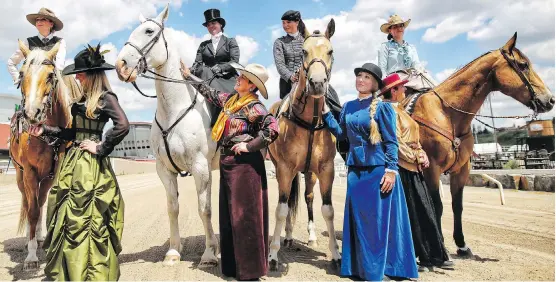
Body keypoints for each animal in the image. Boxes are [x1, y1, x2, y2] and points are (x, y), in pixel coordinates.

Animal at [9, 40, 80, 270]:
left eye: (50, 75)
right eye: (22, 73)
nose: (32, 113)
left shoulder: (53, 174)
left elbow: (43, 206)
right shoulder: (30, 172)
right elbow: (32, 211)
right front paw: (31, 256)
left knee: (39, 202)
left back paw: (39, 236)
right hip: (20, 175)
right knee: (28, 202)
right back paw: (29, 240)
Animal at [114, 6, 219, 266]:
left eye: (149, 31)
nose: (121, 65)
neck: (175, 110)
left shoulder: (201, 168)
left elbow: (204, 208)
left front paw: (209, 253)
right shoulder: (164, 169)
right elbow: (173, 208)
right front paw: (173, 251)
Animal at [268, 18, 340, 270]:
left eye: (330, 51)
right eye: (304, 52)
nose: (317, 84)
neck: (310, 121)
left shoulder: (326, 169)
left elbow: (328, 210)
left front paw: (336, 255)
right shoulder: (284, 168)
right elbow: (281, 210)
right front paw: (272, 255)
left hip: (310, 172)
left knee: (308, 198)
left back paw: (310, 236)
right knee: (289, 200)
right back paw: (288, 237)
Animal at [402, 33, 552, 258]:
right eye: (523, 65)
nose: (550, 100)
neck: (447, 114)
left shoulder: (461, 170)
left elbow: (457, 206)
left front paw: (462, 244)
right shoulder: (431, 169)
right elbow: (436, 206)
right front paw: (441, 247)